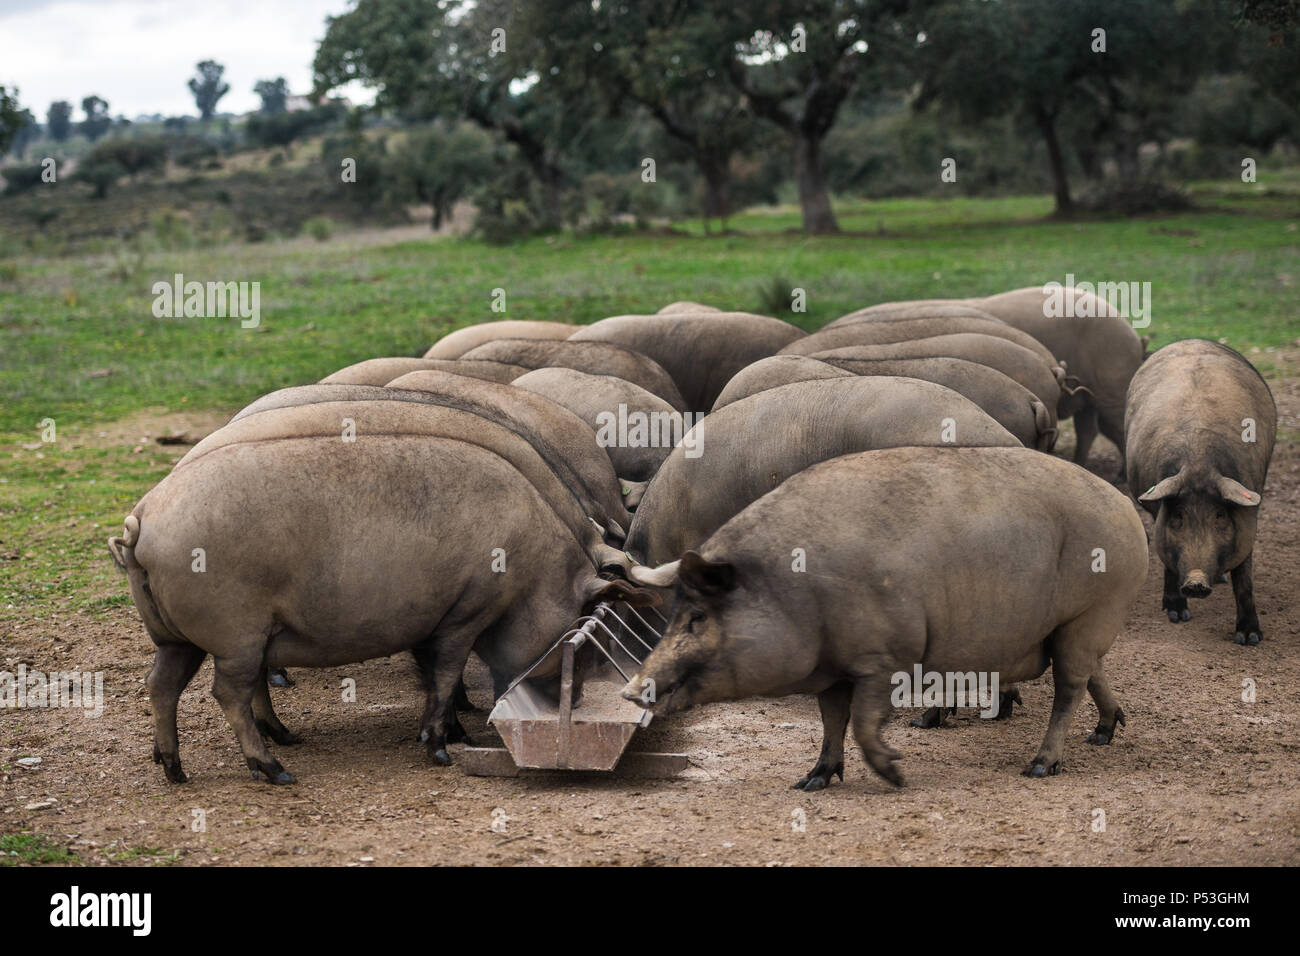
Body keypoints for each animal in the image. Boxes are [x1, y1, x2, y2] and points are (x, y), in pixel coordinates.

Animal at [107, 406, 651, 784]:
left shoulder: (437, 617)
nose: (575, 699)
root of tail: (142, 520)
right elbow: (446, 672)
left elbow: (433, 673)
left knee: (161, 685)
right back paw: (276, 769)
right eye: (579, 629)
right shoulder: (467, 611)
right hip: (236, 633)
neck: (532, 570)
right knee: (227, 693)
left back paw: (178, 769)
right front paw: (443, 750)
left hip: (179, 637)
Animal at [624, 446, 1148, 786]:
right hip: (1070, 629)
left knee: (1069, 688)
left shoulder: (885, 656)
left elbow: (861, 720)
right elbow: (831, 719)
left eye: (697, 617)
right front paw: (810, 782)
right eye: (673, 614)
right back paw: (1102, 735)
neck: (797, 592)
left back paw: (1040, 766)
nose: (630, 690)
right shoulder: (831, 668)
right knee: (1094, 675)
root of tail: (1124, 505)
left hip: (1089, 614)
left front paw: (895, 775)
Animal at [1124, 339, 1276, 643]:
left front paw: (1250, 638)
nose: (1196, 582)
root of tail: (1191, 340)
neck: (1198, 461)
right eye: (1178, 517)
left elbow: (1244, 579)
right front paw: (1177, 616)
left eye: (1220, 516)